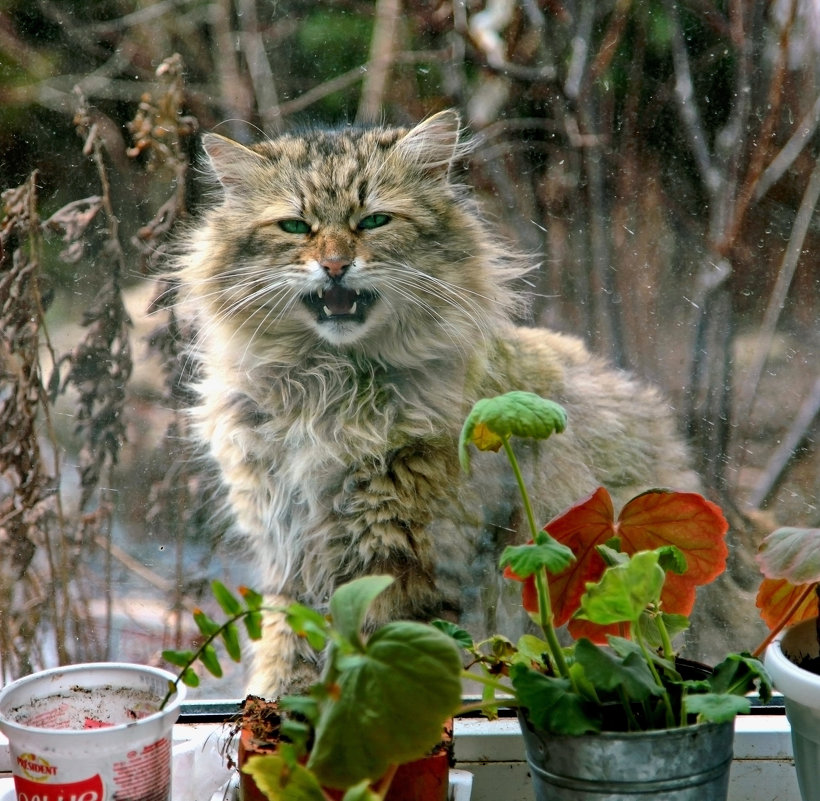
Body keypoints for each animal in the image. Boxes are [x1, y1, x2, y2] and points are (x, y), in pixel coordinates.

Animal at [173, 109, 700, 696]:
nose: (334, 266)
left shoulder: (405, 560)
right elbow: (287, 657)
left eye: (374, 221)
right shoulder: (290, 554)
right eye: (294, 227)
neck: (329, 390)